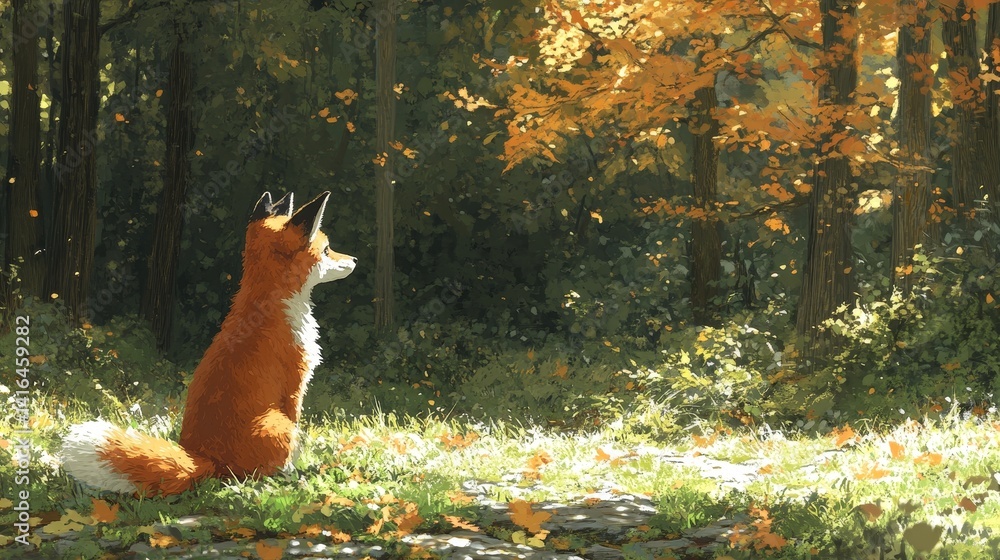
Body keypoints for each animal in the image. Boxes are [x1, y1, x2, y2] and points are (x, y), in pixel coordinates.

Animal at [60, 191, 356, 496]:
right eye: (327, 250)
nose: (355, 259)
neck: (268, 305)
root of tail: (205, 460)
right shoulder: (296, 382)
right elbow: (297, 423)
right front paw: (300, 471)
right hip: (277, 426)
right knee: (256, 475)